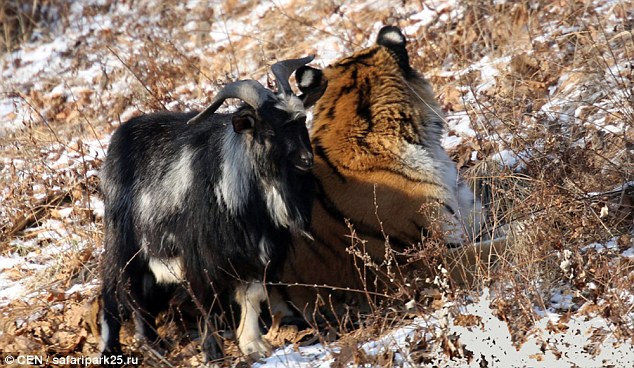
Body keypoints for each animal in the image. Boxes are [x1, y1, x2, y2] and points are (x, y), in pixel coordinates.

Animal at [99, 56, 326, 360]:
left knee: (140, 300)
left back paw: (155, 345)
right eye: (268, 130)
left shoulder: (259, 254)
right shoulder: (200, 256)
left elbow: (253, 295)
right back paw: (114, 349)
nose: (305, 160)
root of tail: (118, 139)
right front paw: (213, 352)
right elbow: (208, 302)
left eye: (302, 119)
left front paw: (252, 344)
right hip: (124, 245)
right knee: (116, 293)